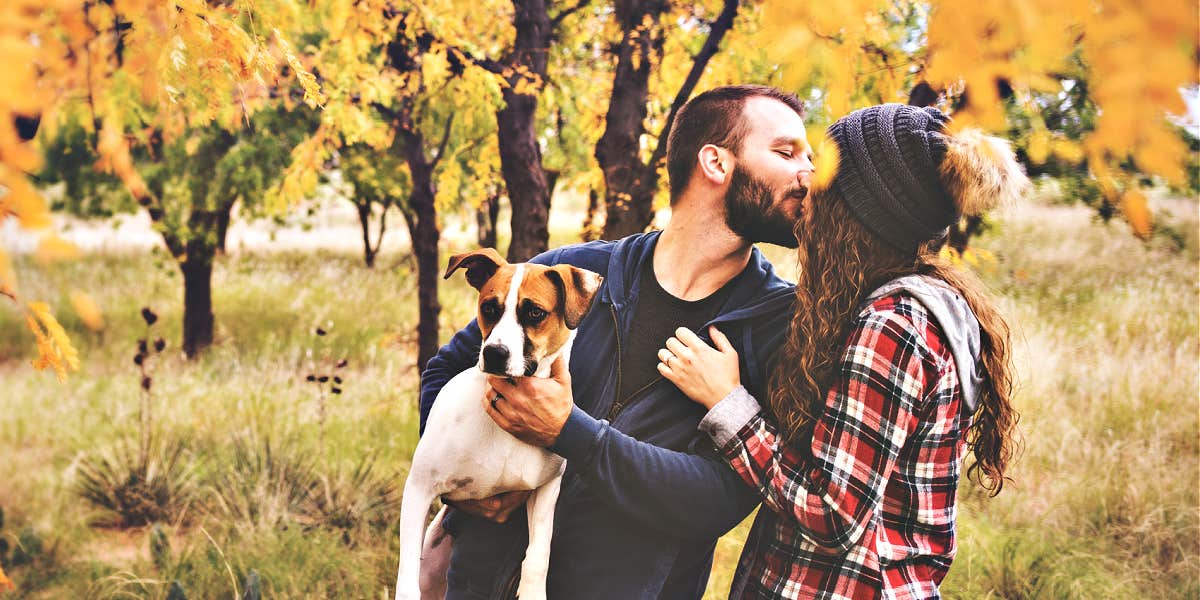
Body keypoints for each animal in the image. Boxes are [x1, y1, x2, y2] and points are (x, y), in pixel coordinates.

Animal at [396, 248, 600, 600]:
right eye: (489, 308)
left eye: (535, 313)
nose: (494, 353)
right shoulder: (420, 488)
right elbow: (407, 571)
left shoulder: (546, 489)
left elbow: (539, 554)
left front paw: (533, 591)